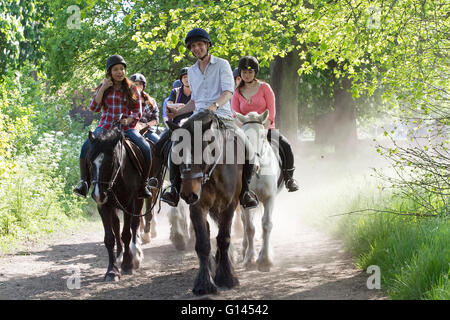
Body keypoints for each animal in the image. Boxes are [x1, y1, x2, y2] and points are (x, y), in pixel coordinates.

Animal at [85, 126, 147, 282]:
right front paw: (112, 271)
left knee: (135, 225)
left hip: (138, 200)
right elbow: (109, 238)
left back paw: (135, 254)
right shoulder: (103, 206)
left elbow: (126, 234)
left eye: (110, 163)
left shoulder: (128, 204)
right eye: (90, 162)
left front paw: (127, 264)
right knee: (117, 225)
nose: (97, 194)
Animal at [167, 110, 243, 296]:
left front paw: (227, 278)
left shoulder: (229, 206)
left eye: (201, 152)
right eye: (177, 154)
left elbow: (224, 238)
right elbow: (202, 243)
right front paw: (204, 283)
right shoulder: (197, 207)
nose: (188, 193)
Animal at [236, 111, 282, 272]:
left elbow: (267, 224)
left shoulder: (269, 198)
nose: (253, 166)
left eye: (262, 136)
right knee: (244, 223)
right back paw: (244, 250)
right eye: (244, 137)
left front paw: (265, 259)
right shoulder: (246, 200)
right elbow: (250, 228)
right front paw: (250, 258)